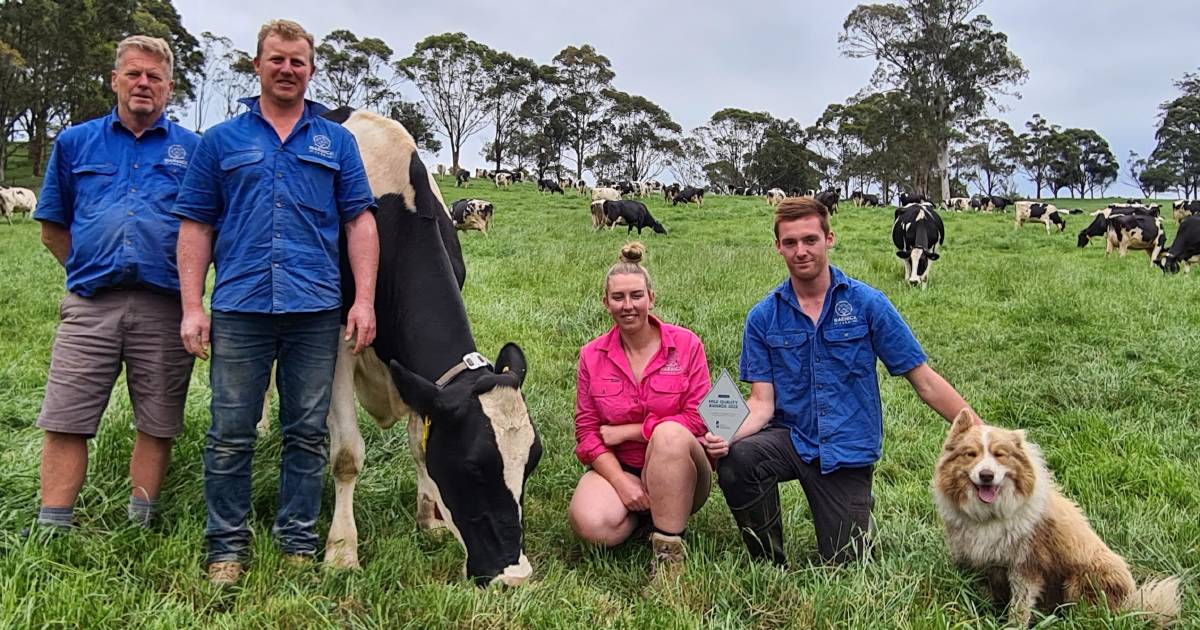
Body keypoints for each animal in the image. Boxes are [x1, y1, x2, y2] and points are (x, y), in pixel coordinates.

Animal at [319, 108, 544, 585]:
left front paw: (429, 520)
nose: (513, 575)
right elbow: (347, 453)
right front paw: (342, 552)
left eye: (531, 461)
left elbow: (419, 442)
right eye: (474, 467)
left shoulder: (420, 378)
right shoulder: (337, 338)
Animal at [931, 412, 1176, 624]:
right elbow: (985, 597)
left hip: (1082, 580)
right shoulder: (979, 564)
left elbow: (1020, 607)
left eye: (1000, 455)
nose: (986, 475)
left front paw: (1013, 625)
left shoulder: (1025, 566)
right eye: (971, 454)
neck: (990, 516)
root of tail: (1132, 604)